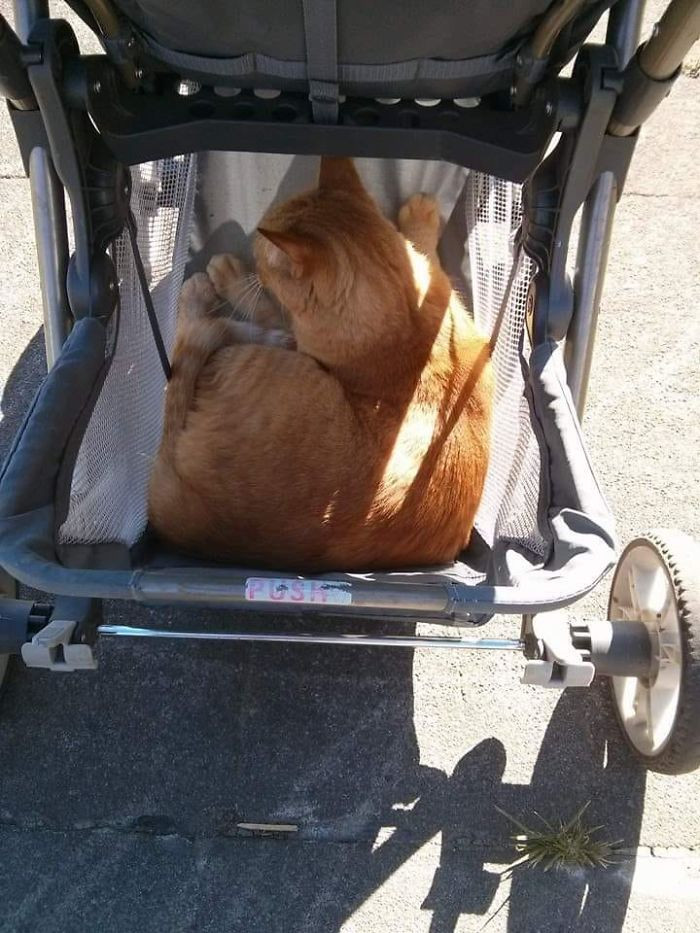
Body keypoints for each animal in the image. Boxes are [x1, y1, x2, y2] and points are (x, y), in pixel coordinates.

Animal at [149, 157, 492, 572]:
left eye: (261, 257)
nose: (250, 257)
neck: (406, 324)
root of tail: (172, 511)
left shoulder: (297, 334)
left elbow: (263, 306)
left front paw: (231, 276)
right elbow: (423, 248)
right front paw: (422, 215)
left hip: (242, 357)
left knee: (204, 332)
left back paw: (200, 297)